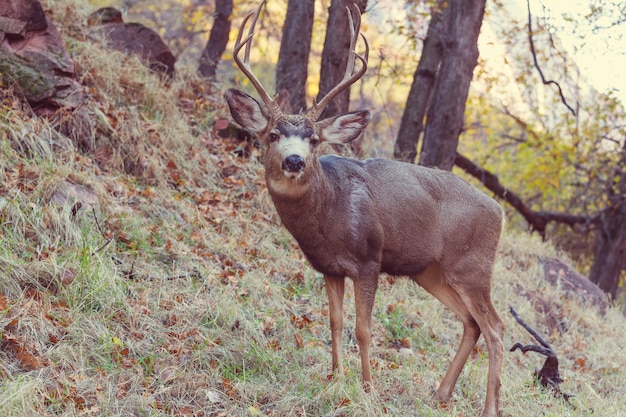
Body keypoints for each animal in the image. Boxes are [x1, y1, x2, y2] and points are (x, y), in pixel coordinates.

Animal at [222, 1, 504, 414]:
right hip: (432, 271)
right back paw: (439, 394)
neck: (330, 215)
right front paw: (335, 379)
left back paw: (488, 407)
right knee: (472, 323)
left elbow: (364, 328)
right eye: (273, 135)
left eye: (314, 139)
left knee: (496, 327)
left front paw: (369, 389)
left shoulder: (370, 260)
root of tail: (500, 213)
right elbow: (336, 322)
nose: (294, 161)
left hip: (473, 267)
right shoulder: (329, 267)